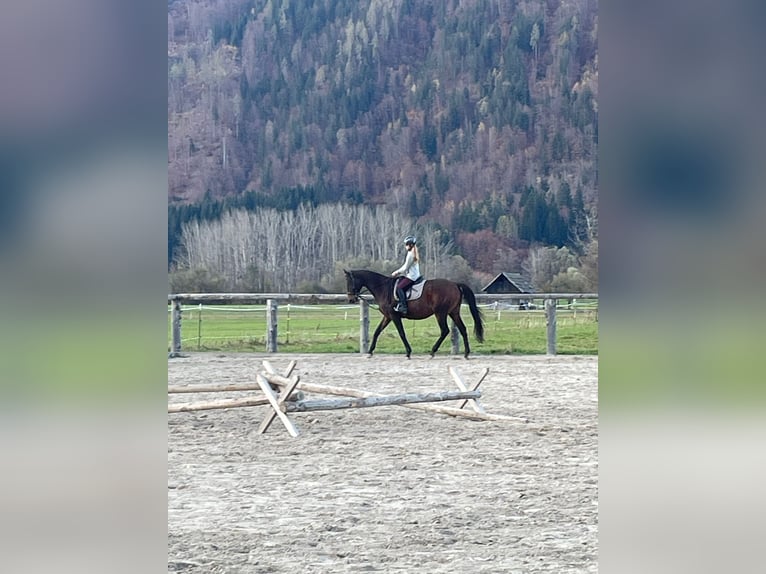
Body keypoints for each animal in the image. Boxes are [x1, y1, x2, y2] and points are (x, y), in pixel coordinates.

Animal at [344, 269, 485, 359]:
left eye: (350, 282)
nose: (351, 299)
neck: (383, 288)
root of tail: (455, 284)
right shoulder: (387, 316)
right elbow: (377, 332)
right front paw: (370, 352)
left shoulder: (394, 316)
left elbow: (401, 333)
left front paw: (408, 352)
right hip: (453, 312)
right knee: (463, 329)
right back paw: (466, 353)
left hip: (440, 313)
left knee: (445, 330)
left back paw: (432, 352)